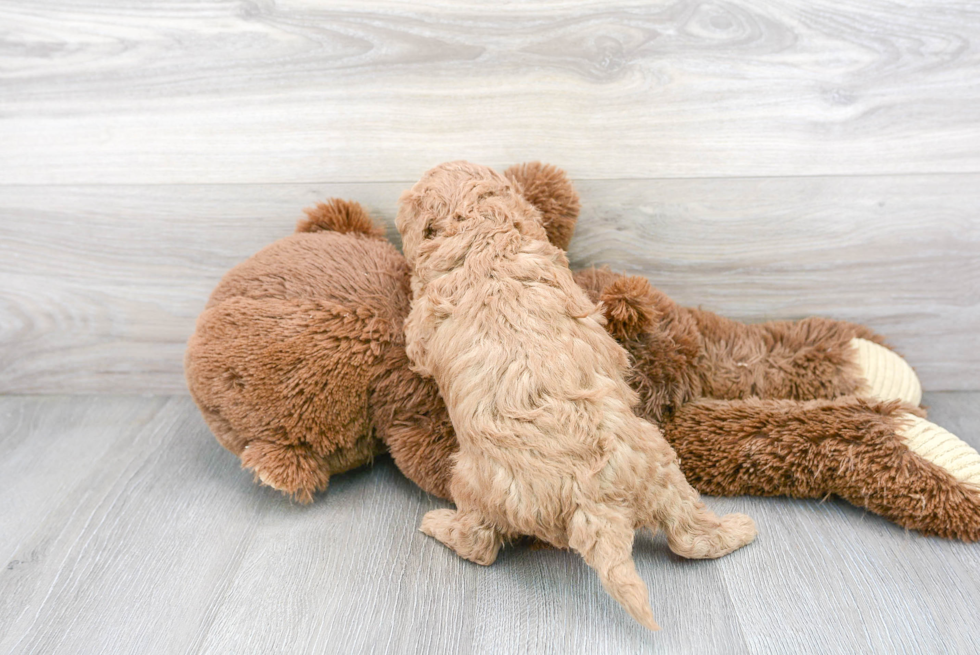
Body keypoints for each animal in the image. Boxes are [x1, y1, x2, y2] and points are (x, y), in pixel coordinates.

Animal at [398, 160, 756, 632]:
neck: (487, 238)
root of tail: (594, 498)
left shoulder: (423, 320)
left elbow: (416, 350)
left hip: (475, 481)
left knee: (479, 543)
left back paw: (438, 525)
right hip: (662, 467)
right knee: (687, 534)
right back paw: (735, 531)